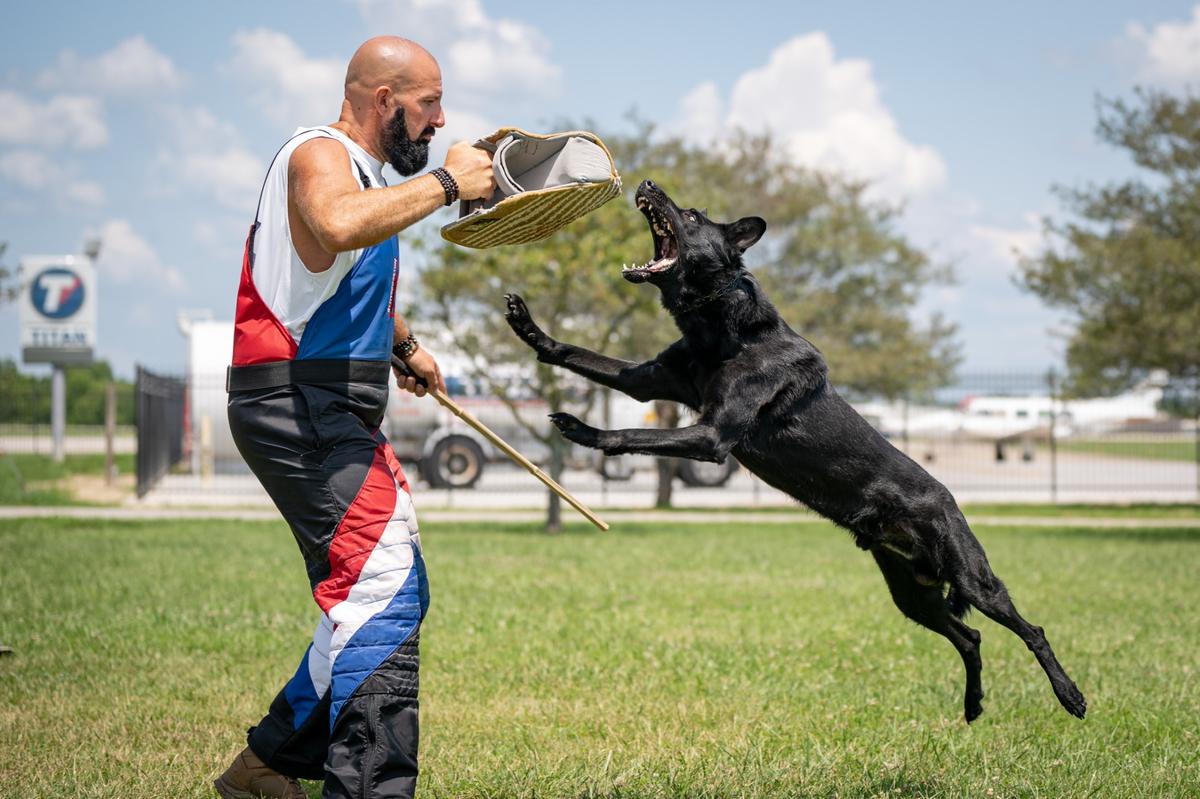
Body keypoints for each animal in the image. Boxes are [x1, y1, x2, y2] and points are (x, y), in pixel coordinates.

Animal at [506, 177, 1089, 719]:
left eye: (691, 215)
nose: (647, 182)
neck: (725, 326)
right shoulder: (645, 384)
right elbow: (579, 355)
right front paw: (531, 329)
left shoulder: (713, 437)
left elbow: (634, 435)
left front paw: (584, 431)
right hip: (911, 594)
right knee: (971, 637)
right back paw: (973, 704)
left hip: (971, 577)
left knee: (1030, 629)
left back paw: (1071, 696)